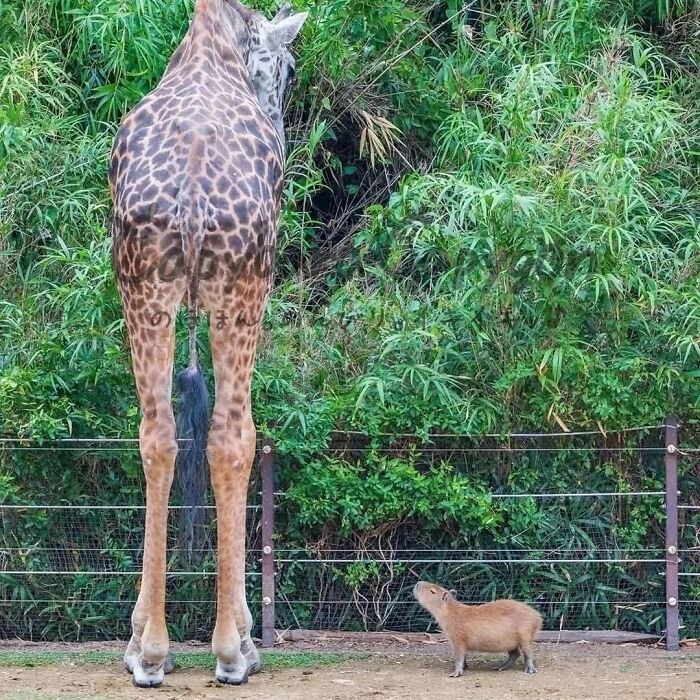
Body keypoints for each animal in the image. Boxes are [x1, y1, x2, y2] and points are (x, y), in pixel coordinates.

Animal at [108, 0, 307, 688]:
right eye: (288, 68)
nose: (281, 118)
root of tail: (193, 189)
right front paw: (245, 633)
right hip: (240, 290)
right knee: (231, 437)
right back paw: (230, 651)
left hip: (143, 288)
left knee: (157, 436)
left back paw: (149, 651)